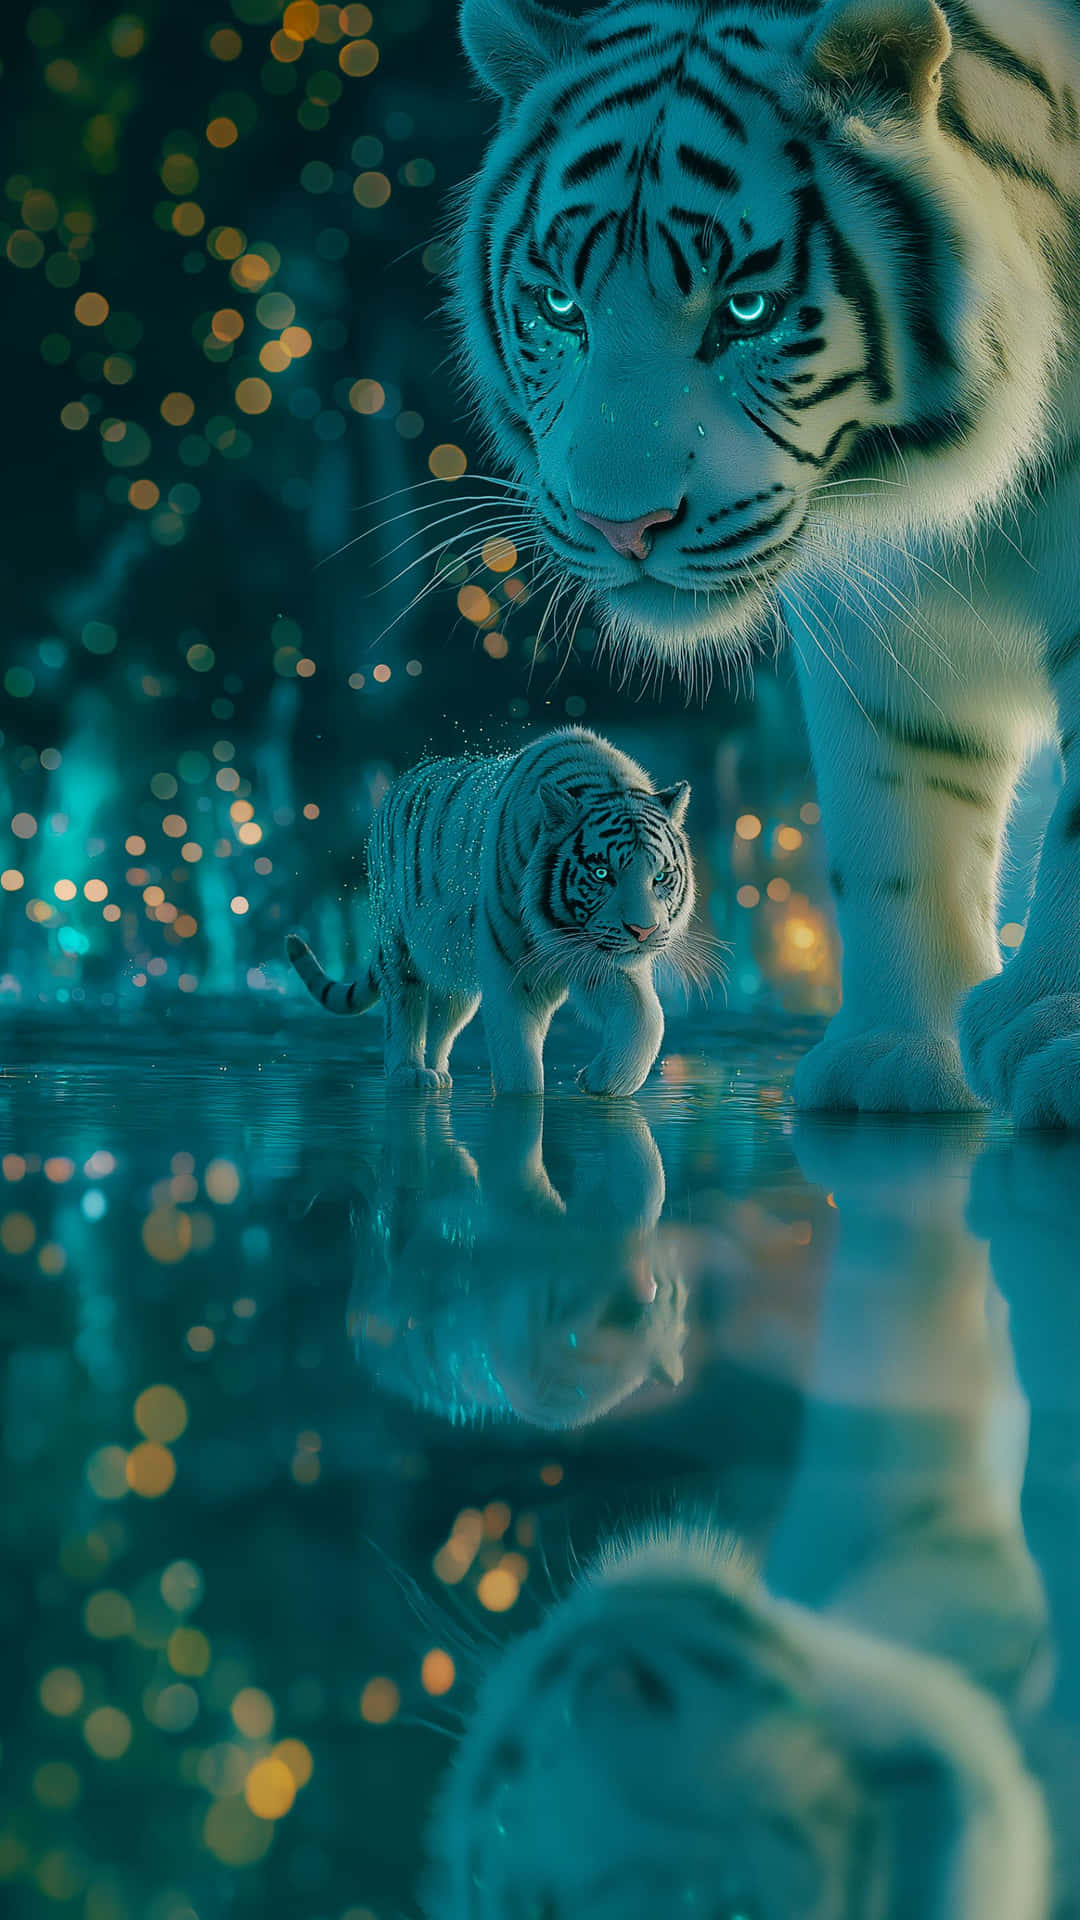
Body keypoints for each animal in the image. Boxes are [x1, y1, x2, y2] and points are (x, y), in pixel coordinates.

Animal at [286, 727, 698, 1096]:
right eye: (602, 874)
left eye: (661, 876)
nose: (643, 932)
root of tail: (397, 784)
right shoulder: (513, 972)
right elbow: (518, 1060)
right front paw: (523, 1106)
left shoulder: (596, 958)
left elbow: (646, 1020)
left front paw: (601, 1081)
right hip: (399, 947)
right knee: (403, 1011)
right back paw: (409, 1074)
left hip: (455, 976)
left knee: (443, 1019)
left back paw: (438, 1074)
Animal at [450, 0, 1080, 1127]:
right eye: (560, 307)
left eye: (746, 311)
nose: (621, 526)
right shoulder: (877, 628)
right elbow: (889, 824)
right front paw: (895, 1057)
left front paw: (1051, 1035)